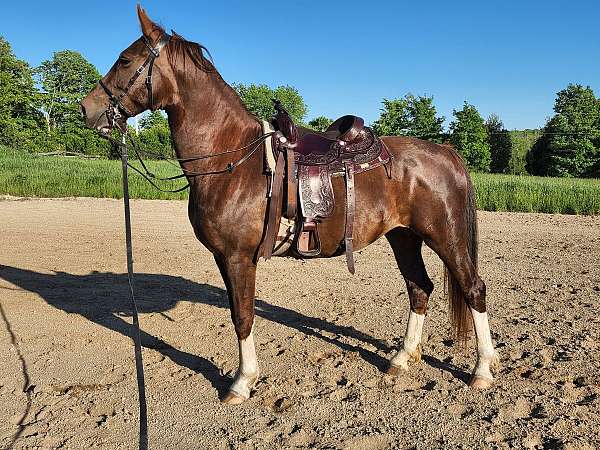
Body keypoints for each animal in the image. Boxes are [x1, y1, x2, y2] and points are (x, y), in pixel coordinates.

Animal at [82, 4, 500, 404]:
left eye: (124, 60)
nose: (87, 109)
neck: (231, 157)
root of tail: (445, 152)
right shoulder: (223, 257)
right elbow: (238, 313)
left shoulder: (238, 257)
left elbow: (243, 317)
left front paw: (242, 382)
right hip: (404, 237)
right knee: (419, 289)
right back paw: (400, 359)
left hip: (445, 236)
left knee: (472, 289)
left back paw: (481, 370)